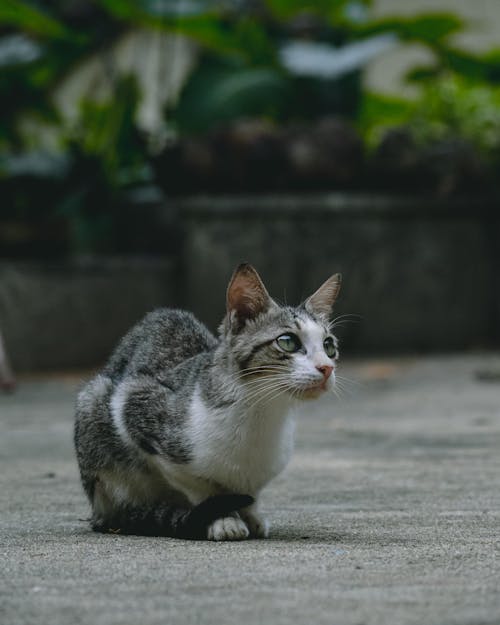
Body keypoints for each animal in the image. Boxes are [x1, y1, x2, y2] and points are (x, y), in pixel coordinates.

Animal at [73, 260, 340, 540]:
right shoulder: (133, 402)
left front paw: (251, 514)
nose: (326, 368)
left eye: (329, 346)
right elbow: (202, 487)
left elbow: (250, 493)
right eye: (287, 342)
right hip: (93, 401)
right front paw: (225, 518)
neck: (261, 411)